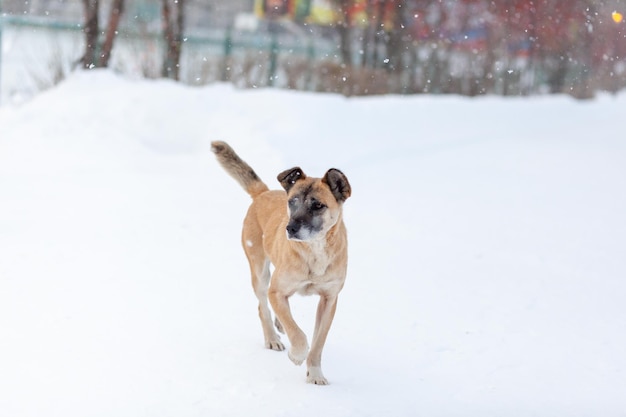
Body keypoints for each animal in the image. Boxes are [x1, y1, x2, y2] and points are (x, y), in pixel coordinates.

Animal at [211, 141, 352, 386]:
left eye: (318, 205)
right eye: (292, 202)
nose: (290, 228)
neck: (314, 252)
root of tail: (264, 193)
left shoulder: (329, 299)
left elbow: (318, 343)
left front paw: (315, 373)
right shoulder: (277, 291)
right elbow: (298, 333)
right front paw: (297, 354)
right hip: (260, 271)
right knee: (263, 305)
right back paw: (272, 338)